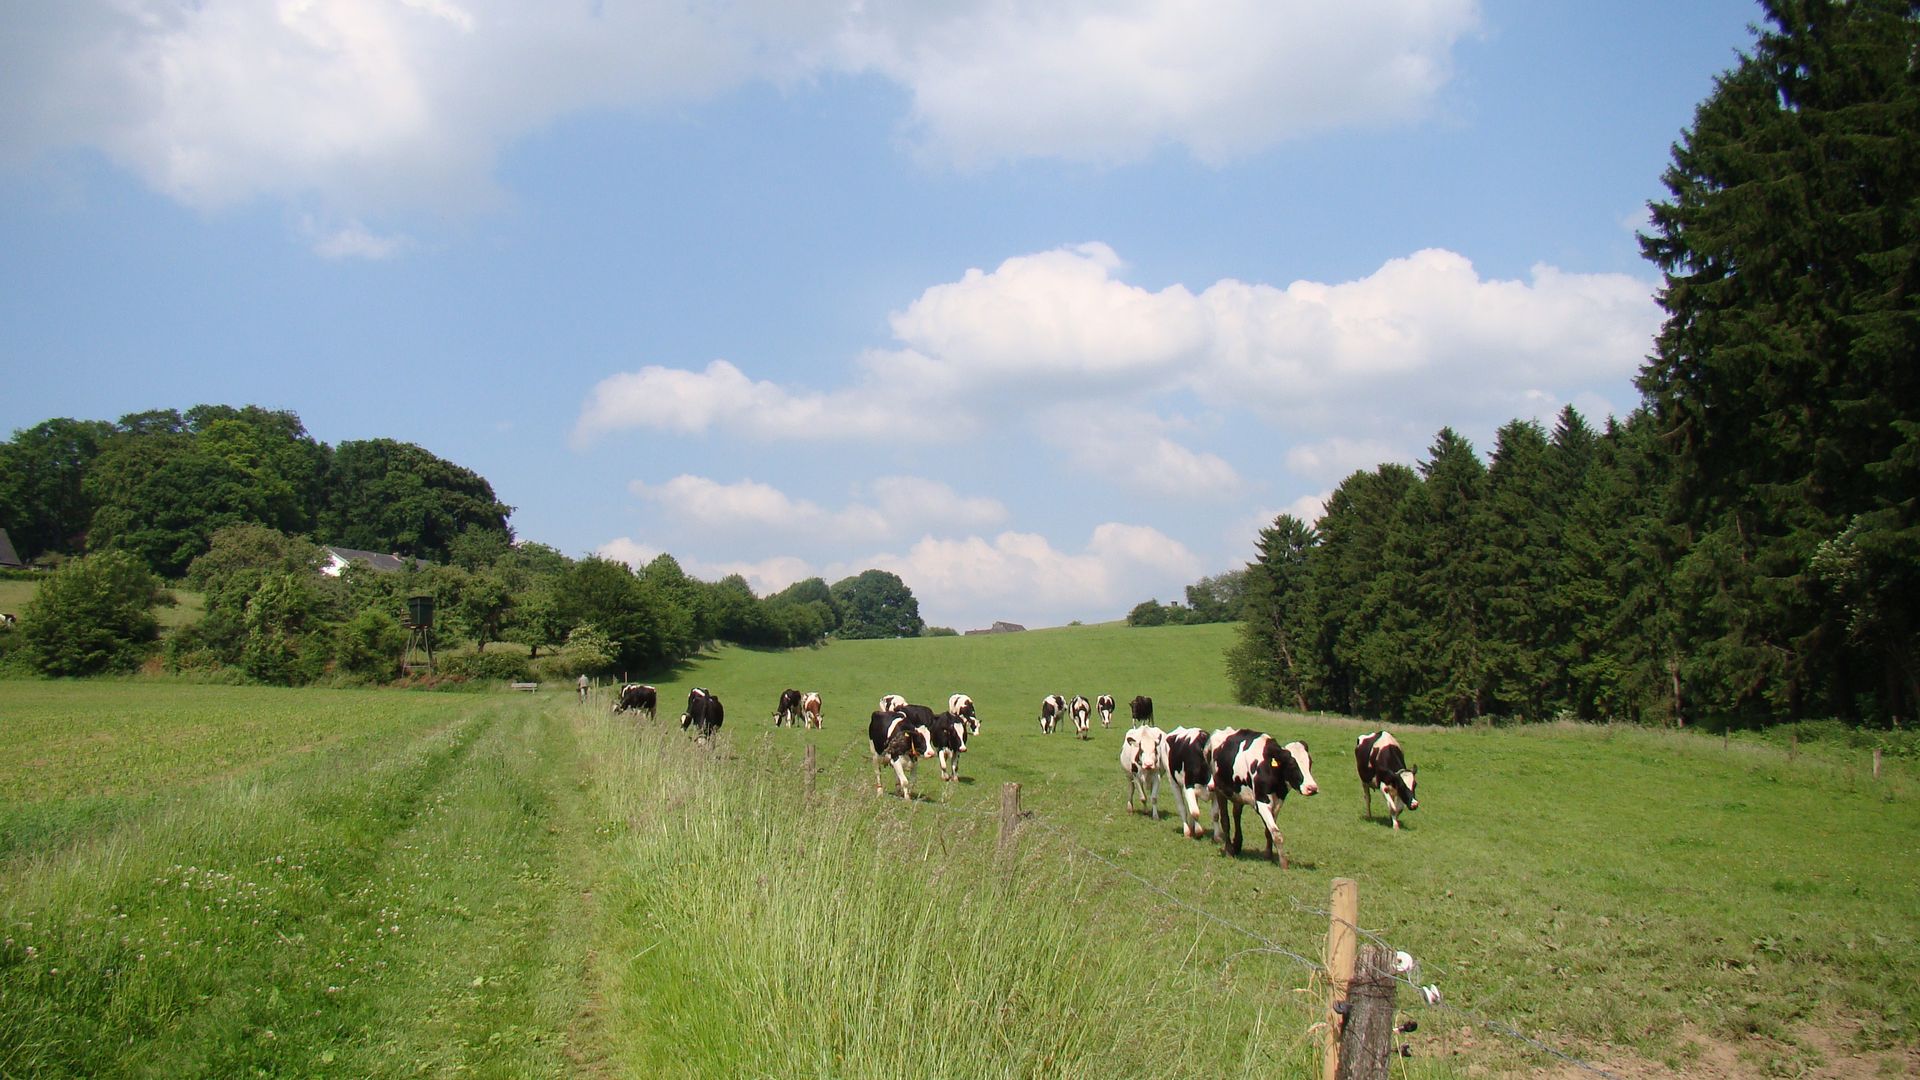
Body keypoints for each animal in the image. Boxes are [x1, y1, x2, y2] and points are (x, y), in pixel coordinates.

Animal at [1198, 722, 1320, 864]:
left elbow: (1269, 830)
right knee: (1225, 821)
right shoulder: (1262, 802)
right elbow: (1276, 832)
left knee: (1236, 815)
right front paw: (1283, 863)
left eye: (1310, 763)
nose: (1312, 788)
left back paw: (1237, 845)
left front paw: (1268, 855)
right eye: (1292, 764)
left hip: (1238, 793)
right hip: (1220, 791)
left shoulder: (1278, 802)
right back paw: (1229, 850)